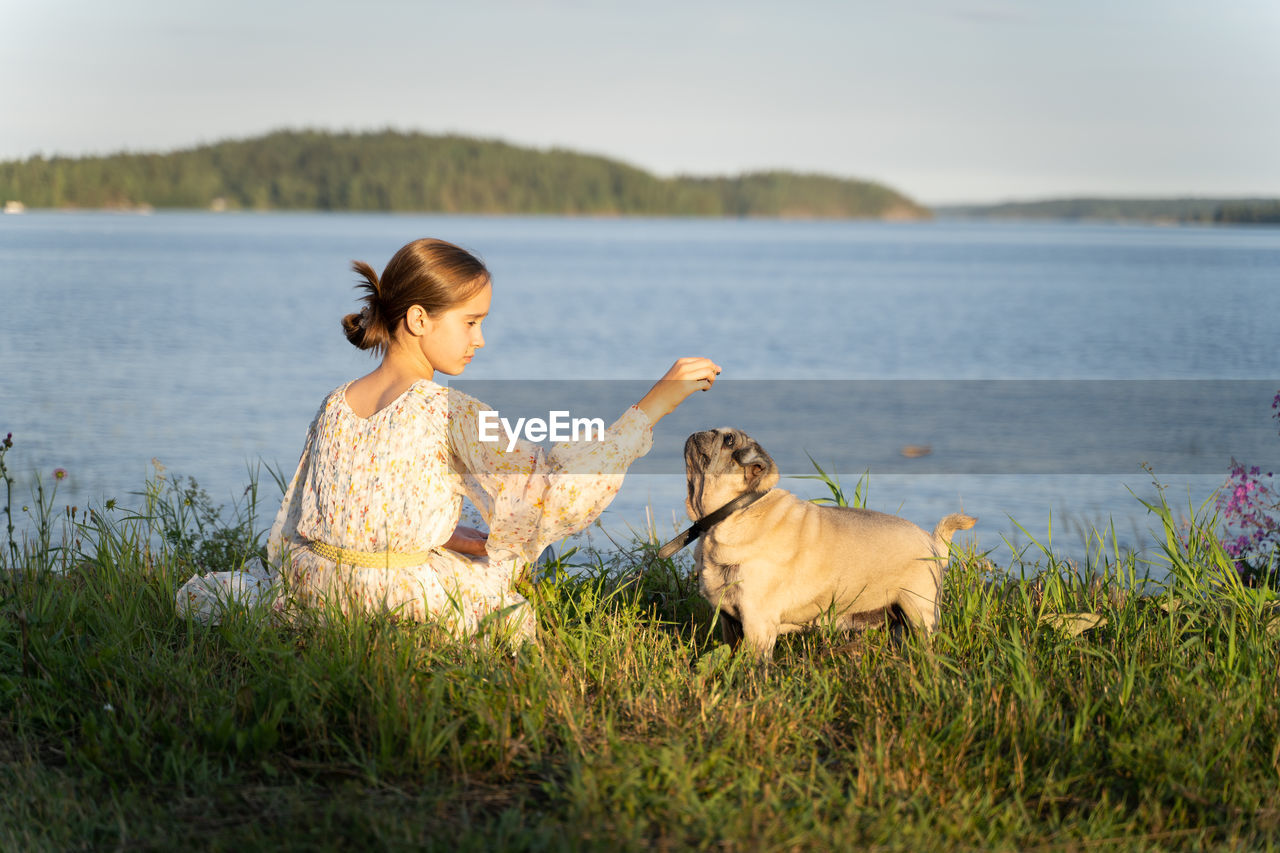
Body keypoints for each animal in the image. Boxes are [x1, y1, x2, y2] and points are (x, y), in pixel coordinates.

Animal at [686, 425, 972, 655]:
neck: (734, 512)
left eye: (728, 440)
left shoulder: (757, 623)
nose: (703, 430)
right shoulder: (729, 623)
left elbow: (755, 666)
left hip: (920, 613)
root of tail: (931, 542)